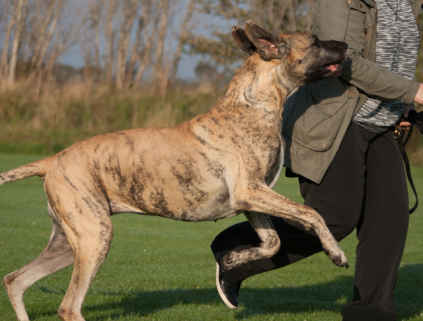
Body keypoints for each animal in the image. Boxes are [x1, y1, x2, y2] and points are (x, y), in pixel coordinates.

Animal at [0, 21, 348, 318]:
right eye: (315, 41)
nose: (345, 44)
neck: (253, 105)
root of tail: (51, 161)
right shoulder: (251, 190)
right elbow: (312, 213)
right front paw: (336, 253)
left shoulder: (252, 200)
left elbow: (273, 242)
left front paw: (232, 259)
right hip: (94, 237)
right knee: (68, 307)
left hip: (68, 242)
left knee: (15, 279)